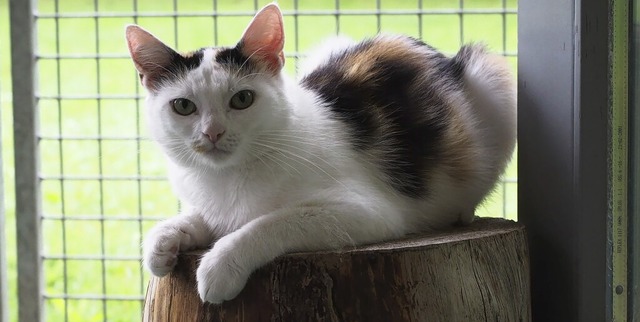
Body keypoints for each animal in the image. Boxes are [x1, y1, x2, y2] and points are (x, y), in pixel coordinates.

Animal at [124, 2, 516, 304]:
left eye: (242, 99)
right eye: (183, 106)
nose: (213, 133)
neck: (228, 177)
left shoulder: (370, 211)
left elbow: (272, 221)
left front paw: (220, 265)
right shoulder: (215, 205)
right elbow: (201, 216)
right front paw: (164, 242)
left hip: (495, 78)